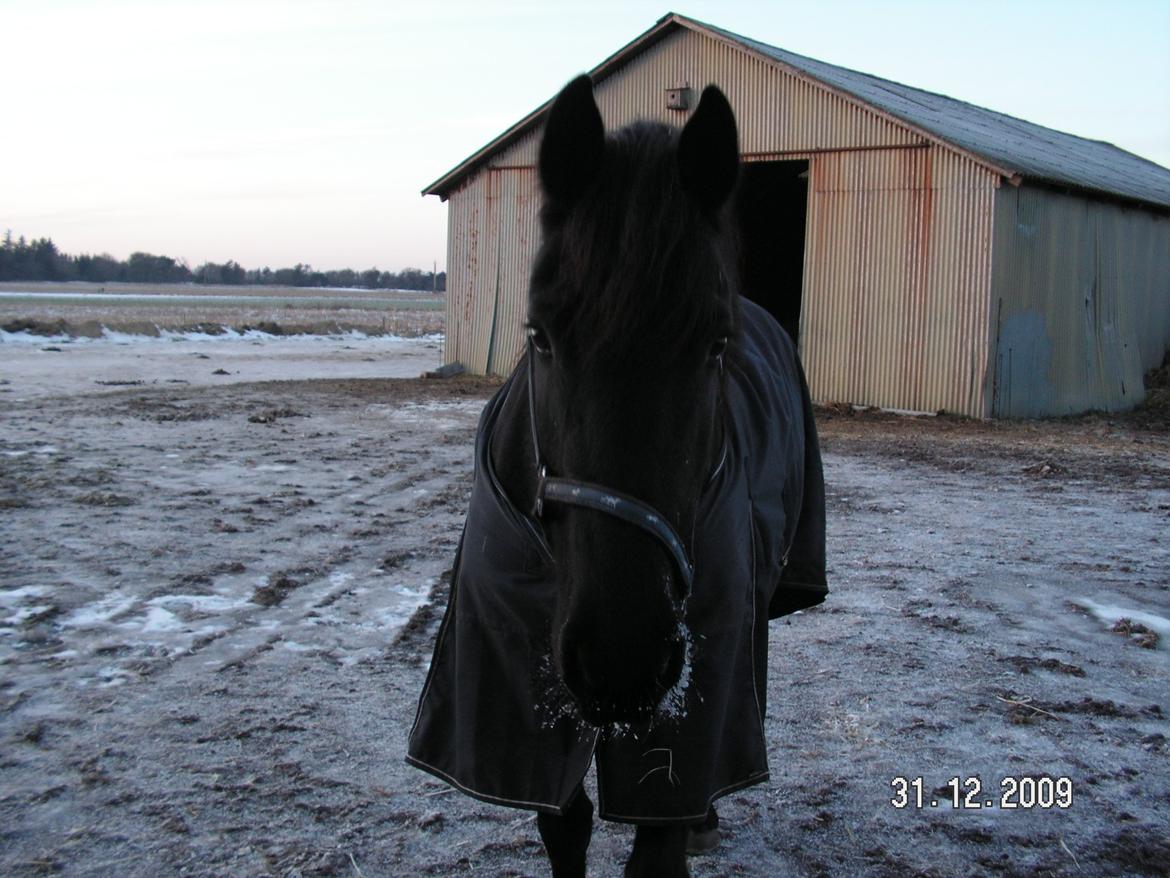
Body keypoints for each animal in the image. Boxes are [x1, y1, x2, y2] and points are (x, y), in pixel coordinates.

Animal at [407, 77, 828, 878]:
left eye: (714, 344)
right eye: (539, 335)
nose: (619, 661)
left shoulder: (682, 727)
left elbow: (658, 841)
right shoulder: (516, 699)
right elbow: (564, 826)